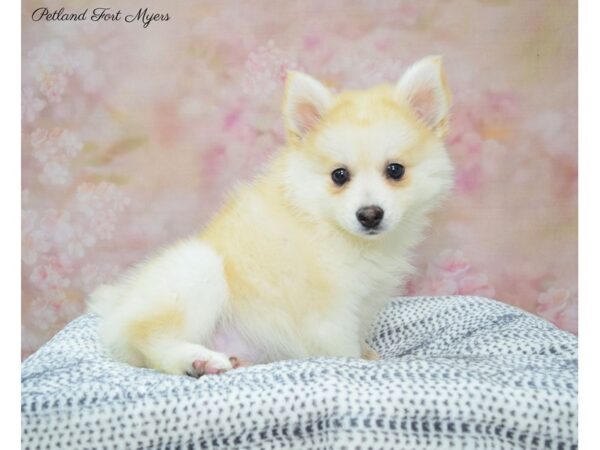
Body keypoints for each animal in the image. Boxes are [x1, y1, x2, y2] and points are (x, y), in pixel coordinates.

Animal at [88, 54, 454, 376]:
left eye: (395, 170)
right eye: (339, 175)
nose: (370, 215)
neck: (324, 222)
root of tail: (118, 304)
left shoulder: (361, 303)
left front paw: (369, 353)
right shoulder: (328, 315)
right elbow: (343, 349)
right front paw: (360, 361)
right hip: (198, 270)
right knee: (150, 339)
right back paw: (198, 360)